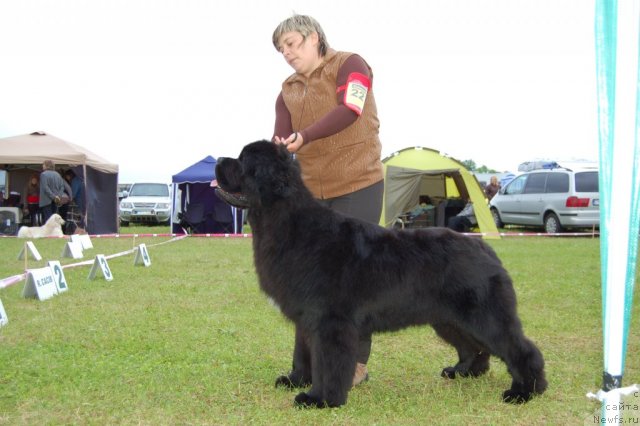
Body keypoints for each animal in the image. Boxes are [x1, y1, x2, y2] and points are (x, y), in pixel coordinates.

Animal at [215, 140, 544, 406]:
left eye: (242, 160)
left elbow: (327, 362)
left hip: (483, 316)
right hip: (449, 319)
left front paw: (320, 398)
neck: (286, 222)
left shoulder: (330, 320)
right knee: (473, 347)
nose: (218, 160)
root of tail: (485, 248)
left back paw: (525, 391)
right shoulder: (306, 317)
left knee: (520, 349)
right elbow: (302, 352)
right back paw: (463, 372)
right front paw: (296, 380)